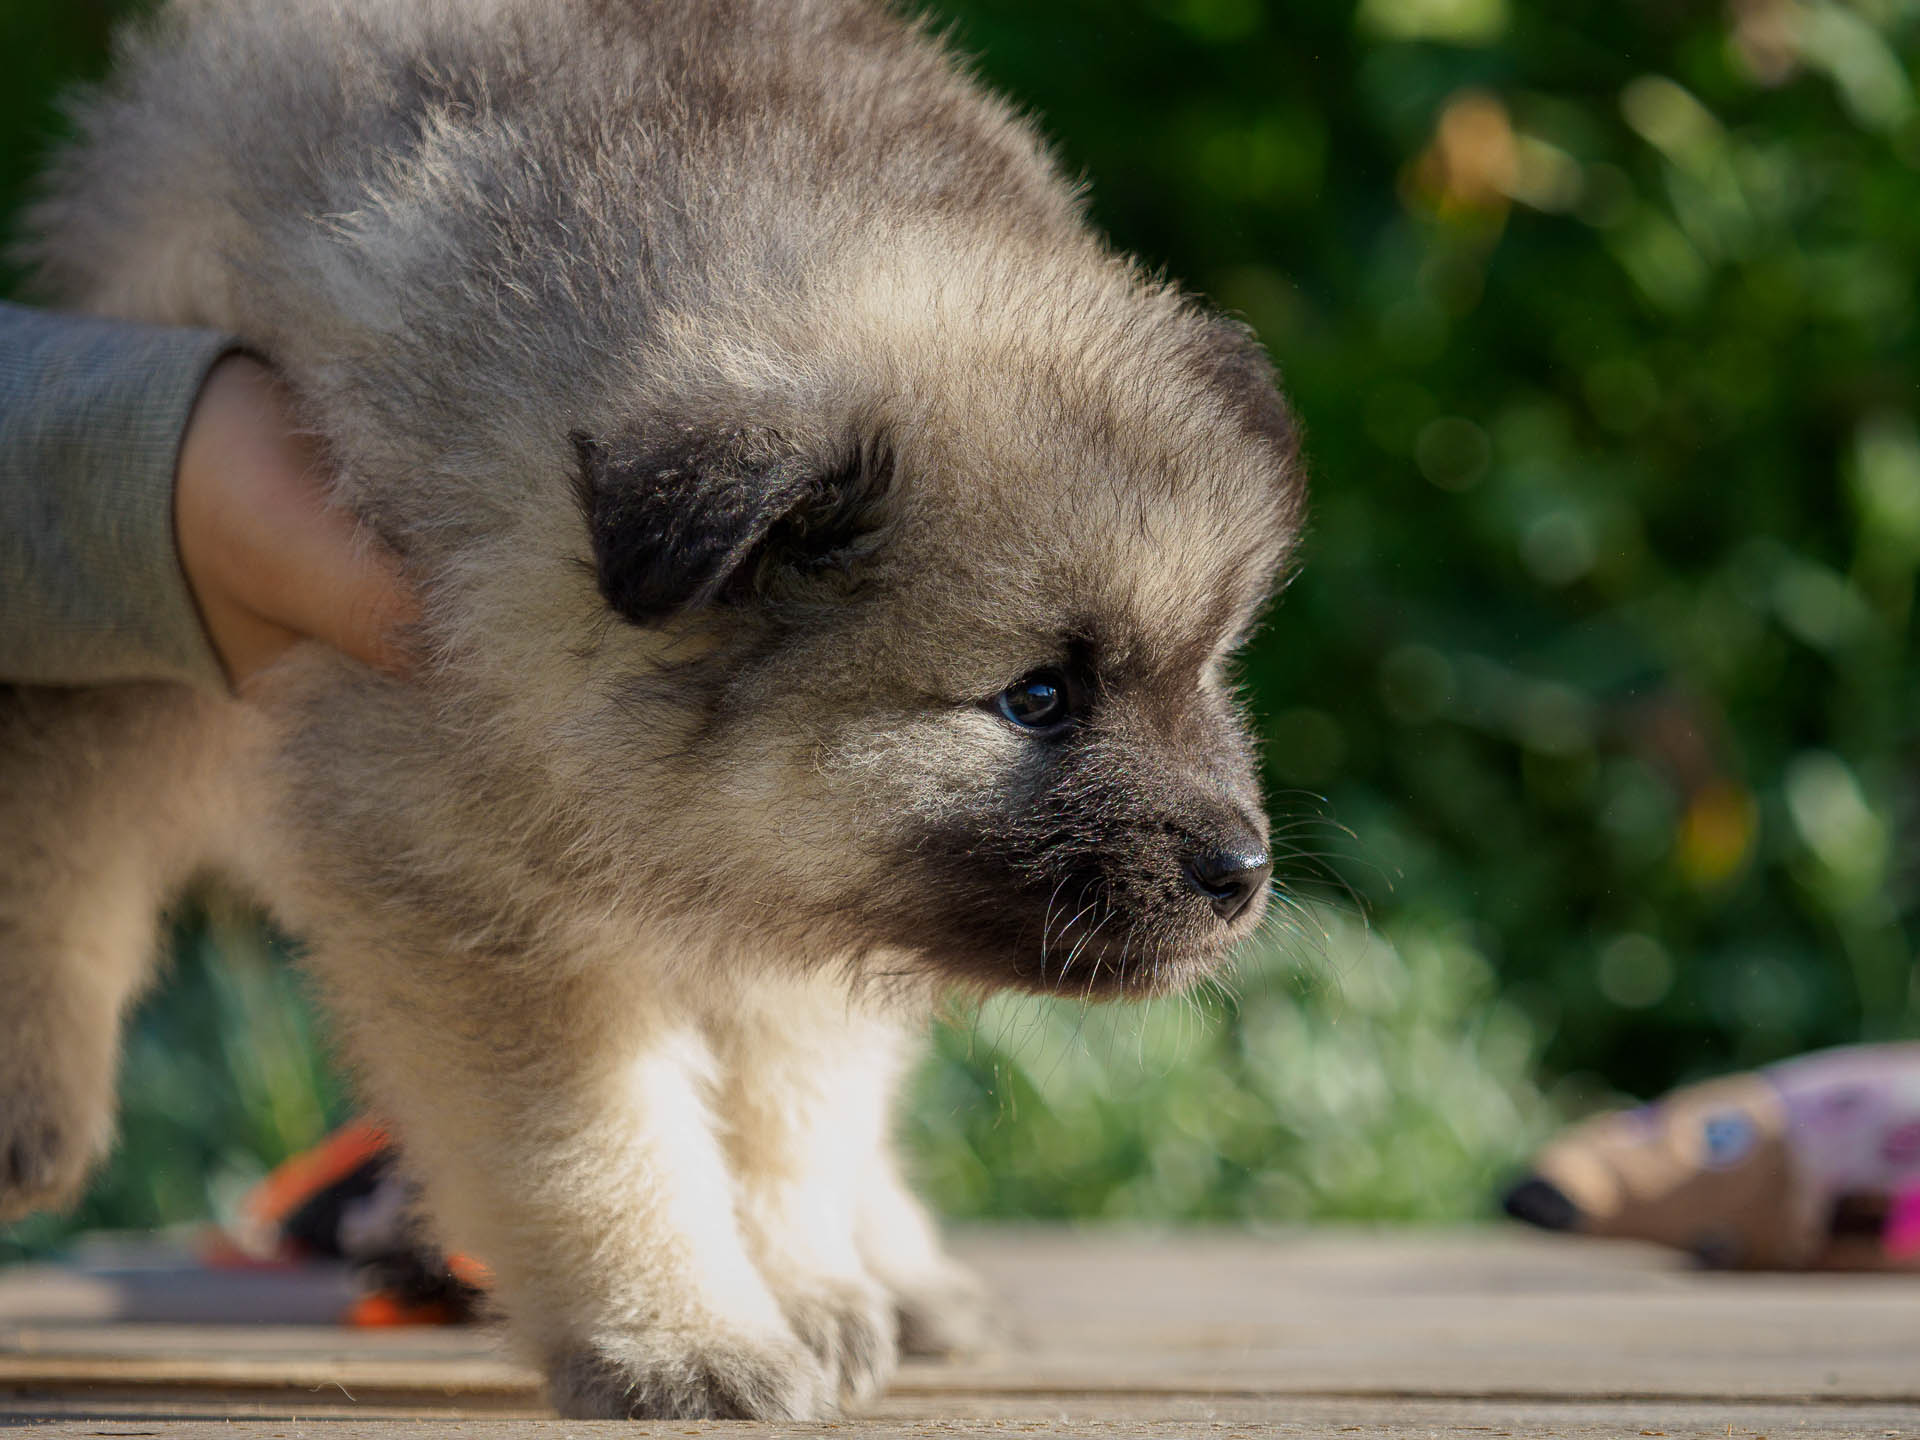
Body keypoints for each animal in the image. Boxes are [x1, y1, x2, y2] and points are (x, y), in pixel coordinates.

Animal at [0, 0, 1305, 1420]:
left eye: (1206, 666)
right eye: (1039, 697)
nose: (1243, 873)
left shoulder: (809, 900)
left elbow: (792, 1120)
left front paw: (797, 1287)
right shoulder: (486, 906)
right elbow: (603, 1147)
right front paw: (687, 1336)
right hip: (143, 649)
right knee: (63, 816)